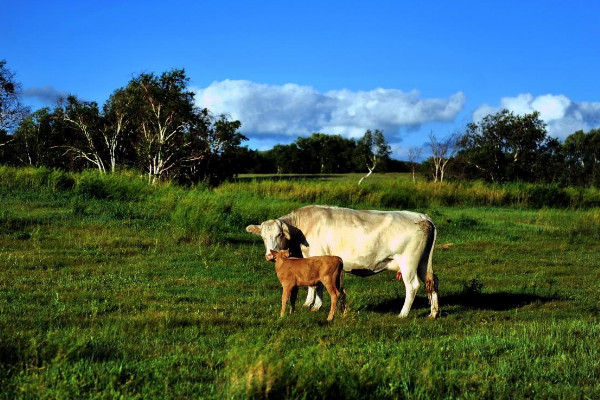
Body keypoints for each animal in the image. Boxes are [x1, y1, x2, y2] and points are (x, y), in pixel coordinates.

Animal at [245, 206, 440, 318]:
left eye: (279, 234)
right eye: (263, 236)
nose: (269, 255)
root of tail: (422, 216)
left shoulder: (316, 256)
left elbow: (315, 285)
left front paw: (313, 305)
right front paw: (312, 304)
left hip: (408, 263)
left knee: (412, 286)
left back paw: (403, 314)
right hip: (423, 263)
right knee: (432, 282)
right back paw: (433, 313)